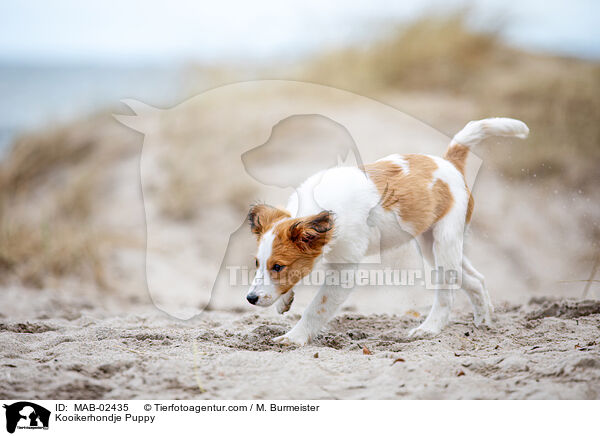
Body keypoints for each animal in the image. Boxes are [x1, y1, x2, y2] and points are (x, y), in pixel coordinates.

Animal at [246, 117, 528, 346]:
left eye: (278, 266)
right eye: (258, 263)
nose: (250, 298)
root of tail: (448, 163)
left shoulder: (344, 271)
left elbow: (316, 308)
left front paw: (294, 337)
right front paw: (284, 301)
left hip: (444, 241)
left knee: (446, 294)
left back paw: (429, 328)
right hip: (431, 246)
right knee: (474, 279)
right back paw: (483, 323)